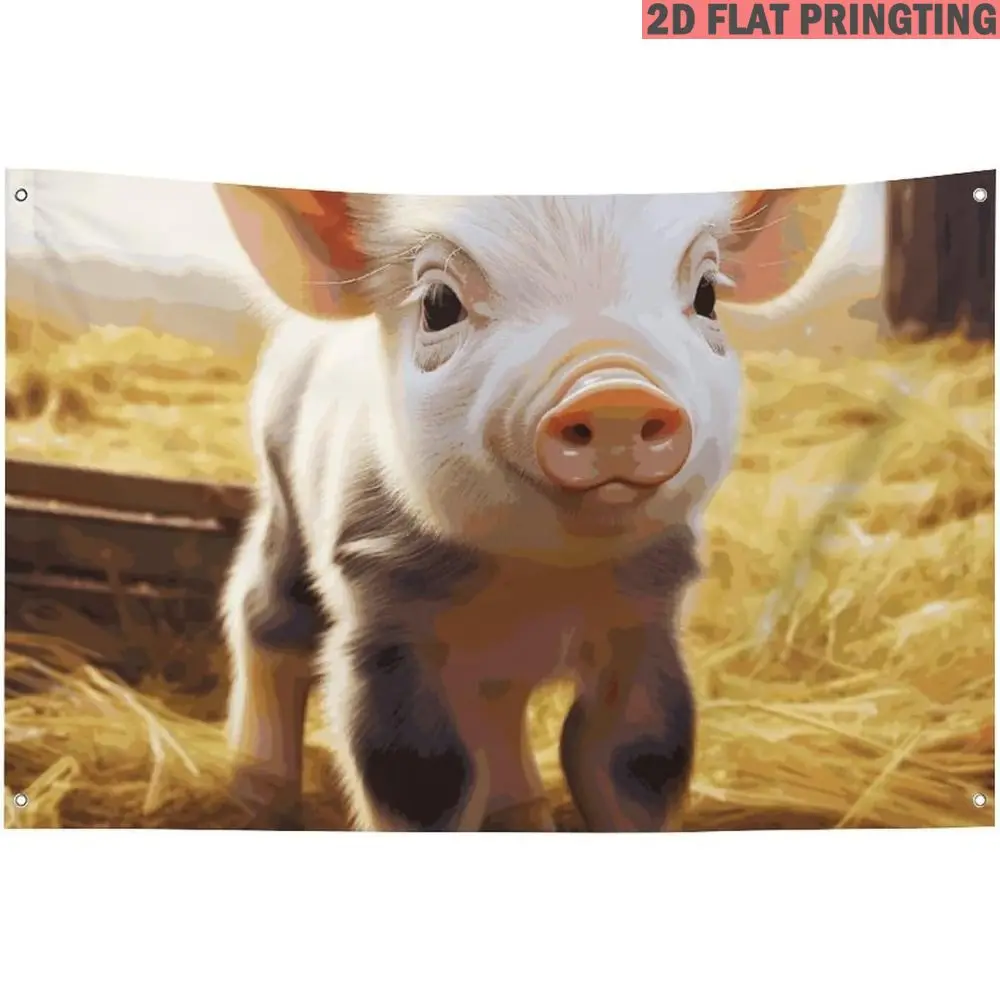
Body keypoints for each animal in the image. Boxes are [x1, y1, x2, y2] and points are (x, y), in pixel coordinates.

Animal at [215, 186, 761, 832]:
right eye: (438, 303)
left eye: (706, 294)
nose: (613, 391)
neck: (536, 582)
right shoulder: (381, 605)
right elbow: (421, 777)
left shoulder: (647, 613)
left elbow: (637, 760)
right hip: (279, 479)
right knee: (266, 612)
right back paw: (256, 797)